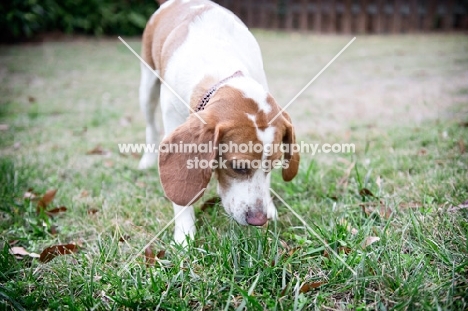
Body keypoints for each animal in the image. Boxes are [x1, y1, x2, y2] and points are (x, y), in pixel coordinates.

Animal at [139, 0, 300, 246]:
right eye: (238, 167)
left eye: (272, 166)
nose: (258, 220)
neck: (219, 69)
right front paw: (184, 233)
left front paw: (270, 205)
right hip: (147, 87)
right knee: (150, 125)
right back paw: (147, 160)